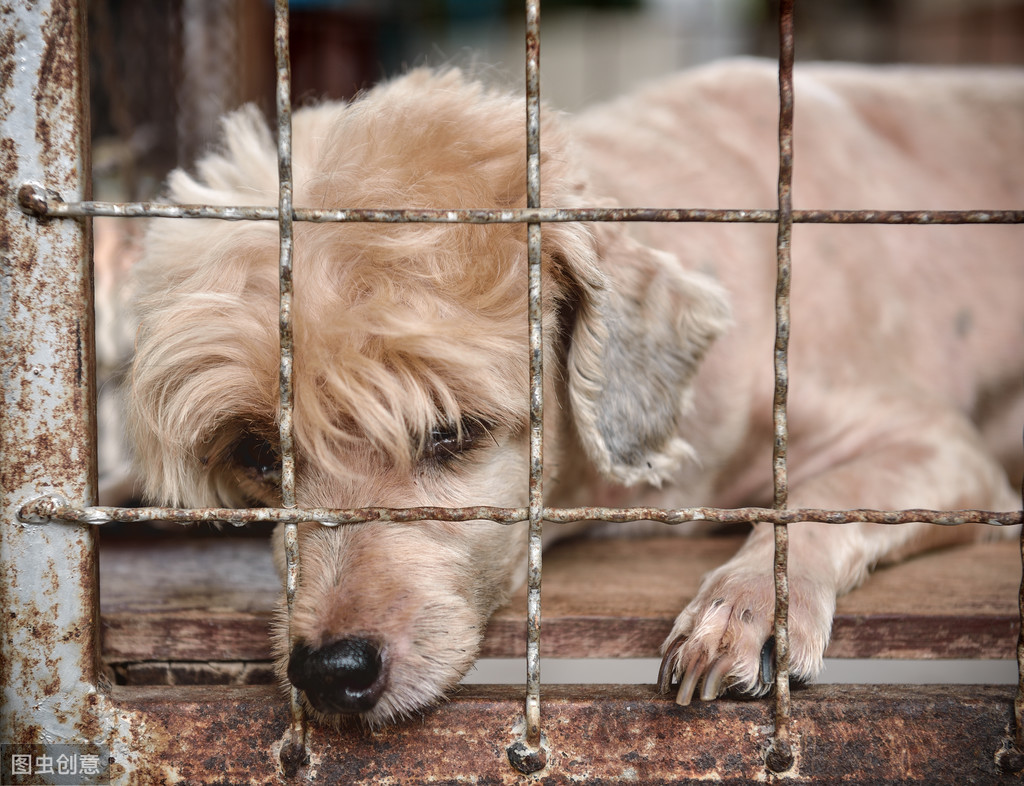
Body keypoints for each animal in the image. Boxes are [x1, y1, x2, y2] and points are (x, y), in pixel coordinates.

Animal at [128, 59, 1024, 724]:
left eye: (452, 431)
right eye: (259, 455)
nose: (329, 671)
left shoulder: (940, 450)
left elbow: (813, 501)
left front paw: (747, 609)